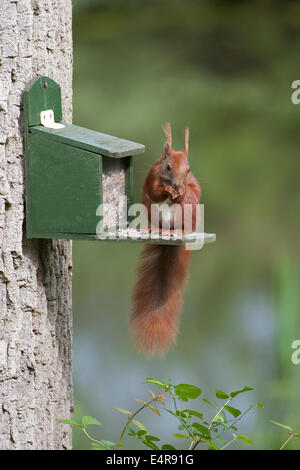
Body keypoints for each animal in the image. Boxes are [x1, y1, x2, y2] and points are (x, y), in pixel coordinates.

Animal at [130, 123, 200, 354]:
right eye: (168, 167)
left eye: (188, 170)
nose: (177, 184)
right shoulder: (152, 175)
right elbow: (154, 190)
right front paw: (166, 190)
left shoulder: (193, 184)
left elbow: (193, 192)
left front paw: (182, 192)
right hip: (153, 214)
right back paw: (154, 228)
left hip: (188, 219)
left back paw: (179, 231)